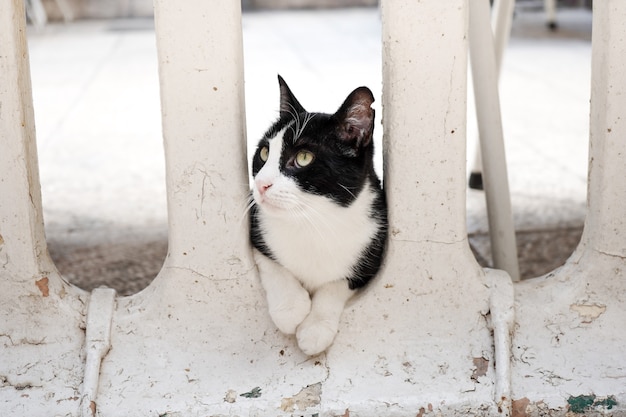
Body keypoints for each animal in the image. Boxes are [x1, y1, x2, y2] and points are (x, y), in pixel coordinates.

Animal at [249, 76, 386, 356]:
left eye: (303, 157)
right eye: (264, 153)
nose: (260, 185)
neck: (312, 221)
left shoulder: (371, 250)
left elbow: (336, 284)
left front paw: (315, 328)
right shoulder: (257, 229)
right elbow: (272, 264)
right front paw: (290, 308)